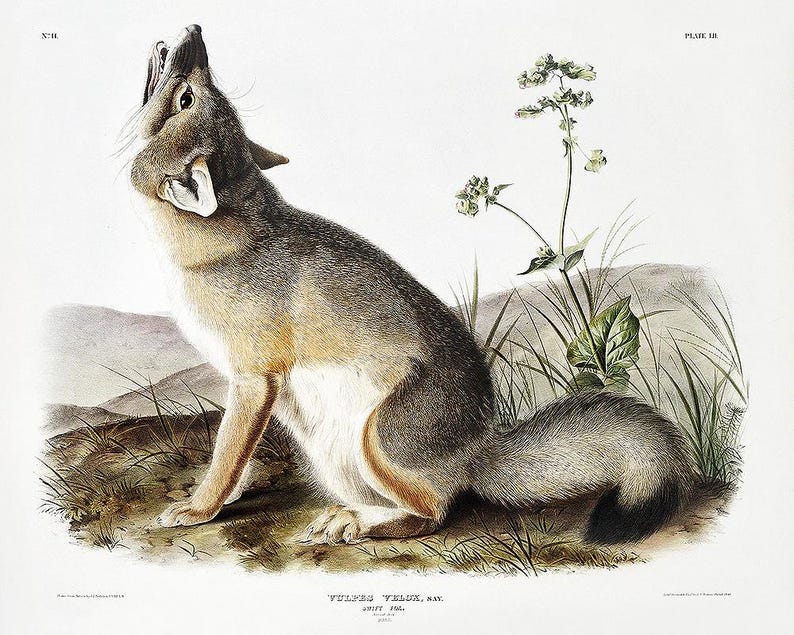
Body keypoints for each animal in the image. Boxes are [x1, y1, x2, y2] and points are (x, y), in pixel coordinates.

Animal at [127, 24, 694, 545]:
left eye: (189, 97)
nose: (195, 30)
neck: (230, 230)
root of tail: (478, 451)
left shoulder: (252, 381)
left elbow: (226, 454)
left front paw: (198, 509)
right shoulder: (253, 391)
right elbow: (237, 460)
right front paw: (225, 498)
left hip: (375, 440)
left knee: (434, 511)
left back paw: (358, 523)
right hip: (331, 451)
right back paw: (346, 515)